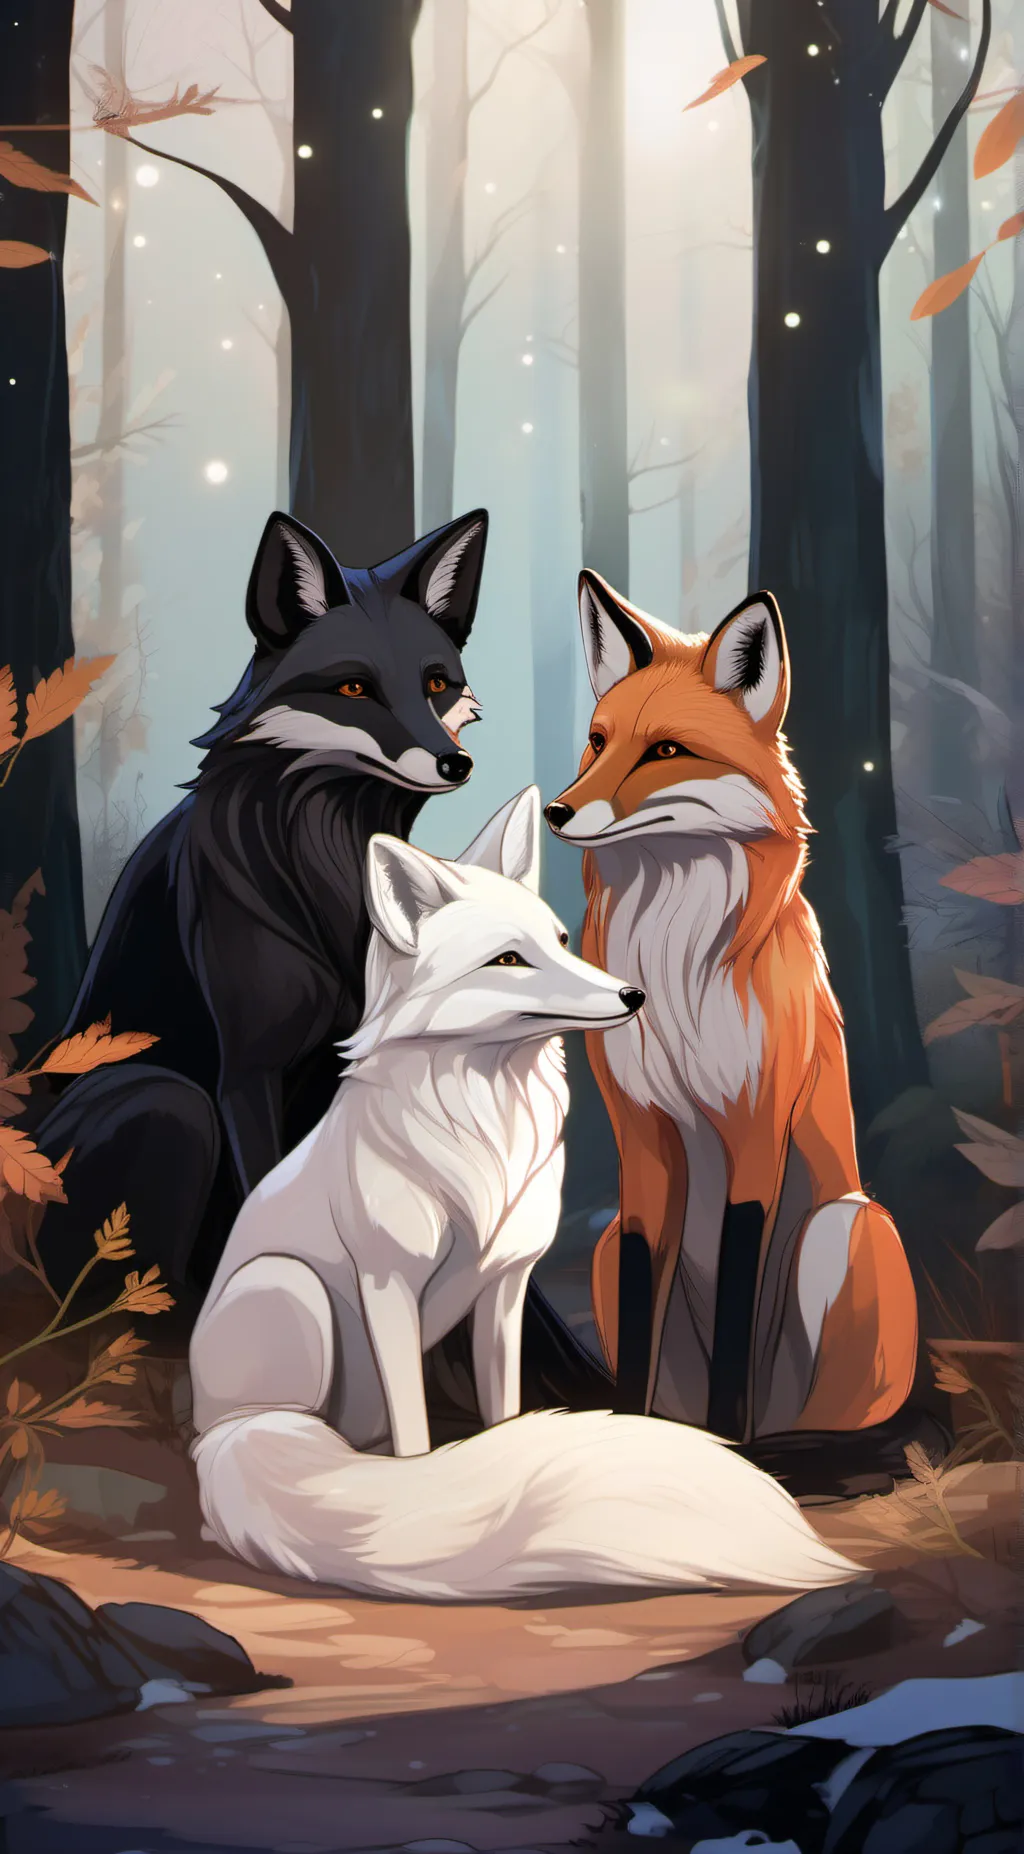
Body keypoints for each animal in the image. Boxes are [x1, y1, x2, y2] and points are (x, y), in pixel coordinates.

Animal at [189, 786, 860, 1600]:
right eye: (508, 959)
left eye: (563, 939)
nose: (633, 993)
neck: (484, 1131)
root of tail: (219, 1433)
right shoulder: (387, 1284)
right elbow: (417, 1435)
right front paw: (426, 1489)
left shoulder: (506, 1283)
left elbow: (502, 1406)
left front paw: (490, 1459)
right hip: (291, 1288)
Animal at [544, 573, 921, 1464]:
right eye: (598, 741)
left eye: (665, 752)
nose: (557, 811)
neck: (676, 966)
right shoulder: (643, 1142)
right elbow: (639, 1323)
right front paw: (628, 1433)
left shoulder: (757, 1127)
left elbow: (740, 1300)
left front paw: (726, 1446)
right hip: (605, 1245)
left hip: (845, 1226)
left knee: (840, 1419)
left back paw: (790, 1445)